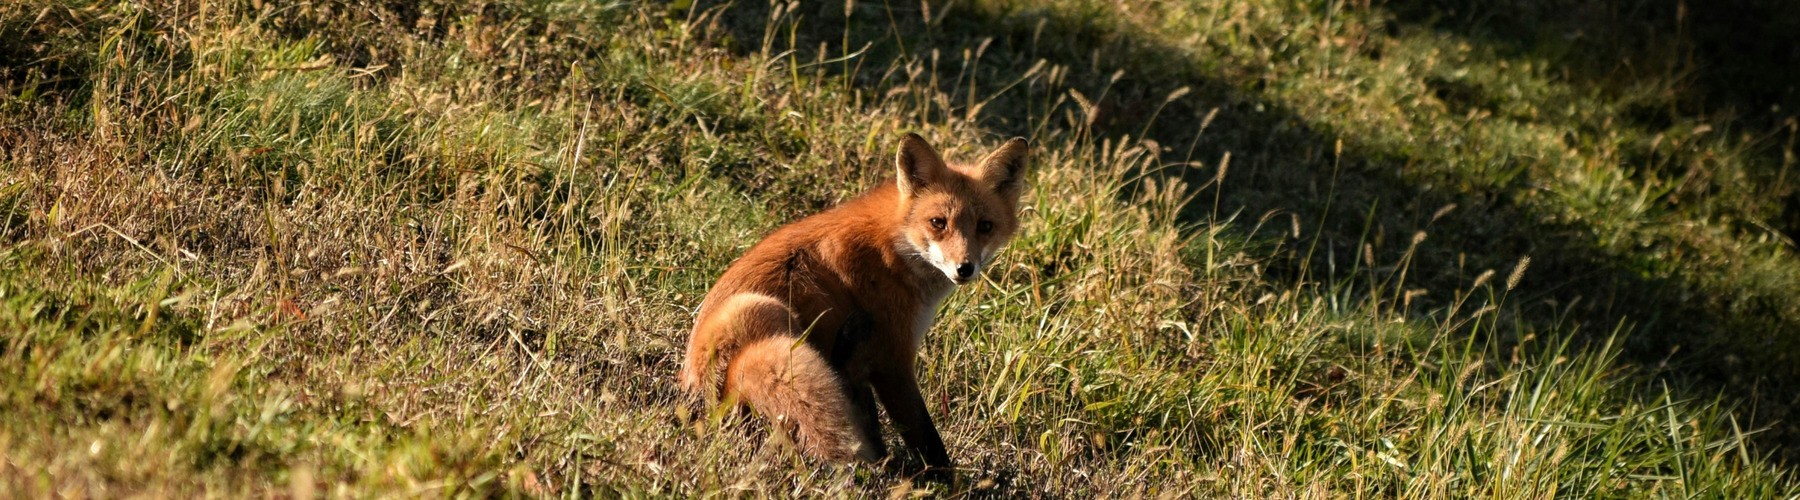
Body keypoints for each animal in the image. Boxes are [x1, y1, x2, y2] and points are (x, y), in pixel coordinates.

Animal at [677, 133, 1030, 468]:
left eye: (985, 226)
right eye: (938, 223)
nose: (964, 268)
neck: (893, 249)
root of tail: (698, 398)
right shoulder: (892, 359)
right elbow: (926, 438)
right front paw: (943, 482)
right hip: (762, 310)